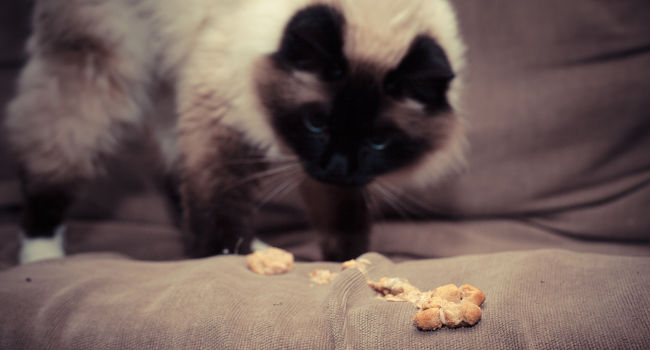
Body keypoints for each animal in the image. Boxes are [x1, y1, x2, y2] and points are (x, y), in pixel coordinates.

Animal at [2, 0, 464, 262]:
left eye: (377, 140)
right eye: (316, 122)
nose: (335, 165)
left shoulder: (325, 171)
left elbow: (343, 214)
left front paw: (351, 259)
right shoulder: (222, 109)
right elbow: (219, 197)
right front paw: (225, 253)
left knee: (175, 170)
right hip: (100, 67)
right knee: (53, 152)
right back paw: (41, 255)